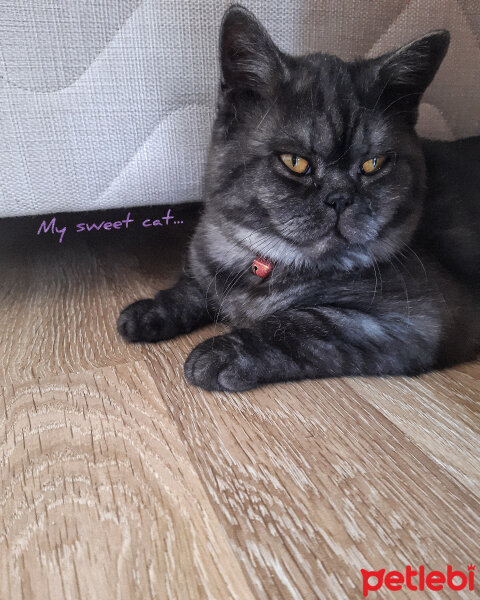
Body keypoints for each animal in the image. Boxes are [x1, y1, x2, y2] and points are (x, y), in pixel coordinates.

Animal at [117, 4, 480, 394]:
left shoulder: (413, 319)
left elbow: (304, 323)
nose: (339, 198)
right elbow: (191, 286)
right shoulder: (207, 259)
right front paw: (150, 311)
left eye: (373, 164)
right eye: (295, 162)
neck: (260, 262)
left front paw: (224, 352)